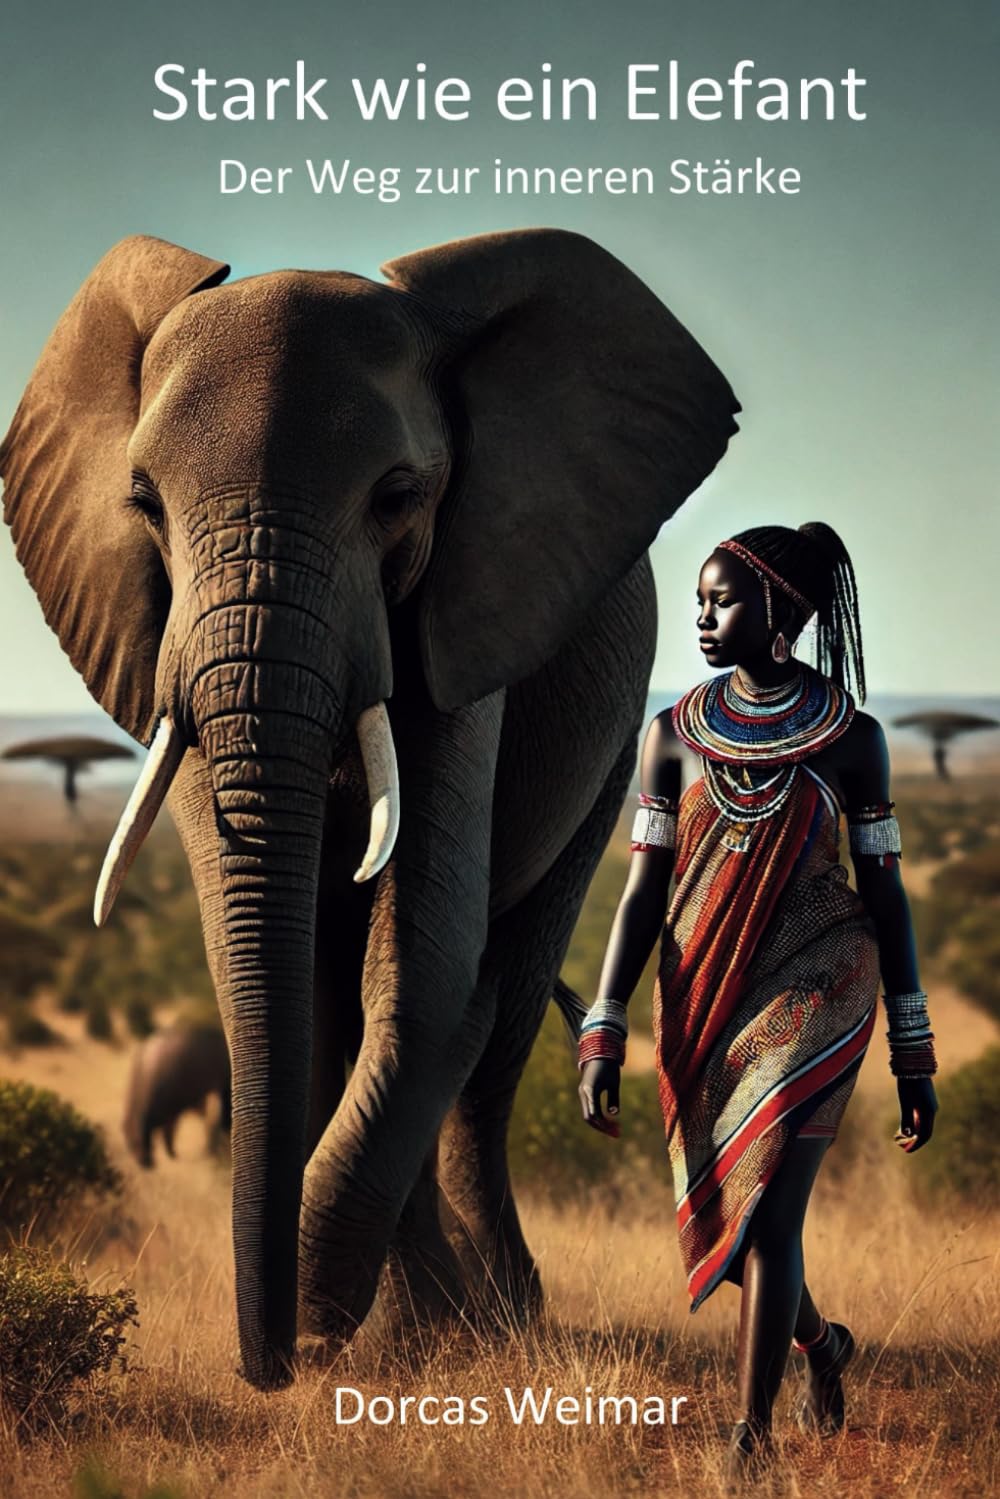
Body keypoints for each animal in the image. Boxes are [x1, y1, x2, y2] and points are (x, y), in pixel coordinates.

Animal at [123, 1023, 232, 1167]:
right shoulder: (172, 1111)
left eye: (133, 1141)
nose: (144, 1164)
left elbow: (171, 1132)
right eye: (128, 1142)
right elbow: (169, 1133)